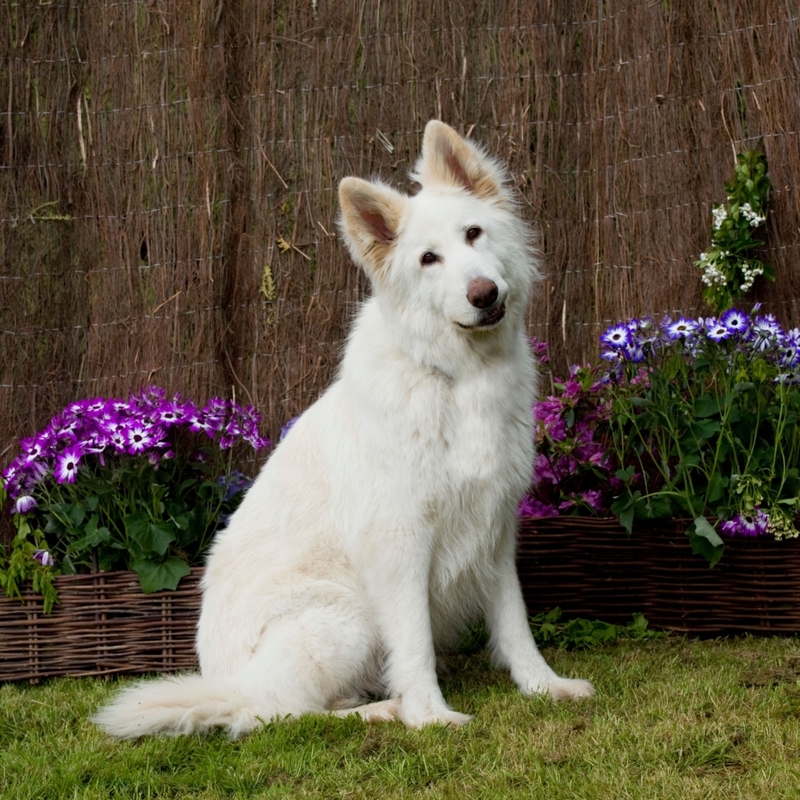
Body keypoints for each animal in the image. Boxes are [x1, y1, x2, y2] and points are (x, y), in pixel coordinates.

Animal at [94, 119, 592, 736]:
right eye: (429, 259)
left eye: (474, 233)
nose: (484, 294)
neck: (456, 379)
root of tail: (224, 682)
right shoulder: (399, 544)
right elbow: (414, 643)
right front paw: (430, 716)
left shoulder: (494, 531)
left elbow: (514, 624)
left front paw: (544, 686)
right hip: (345, 618)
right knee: (277, 712)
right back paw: (384, 709)